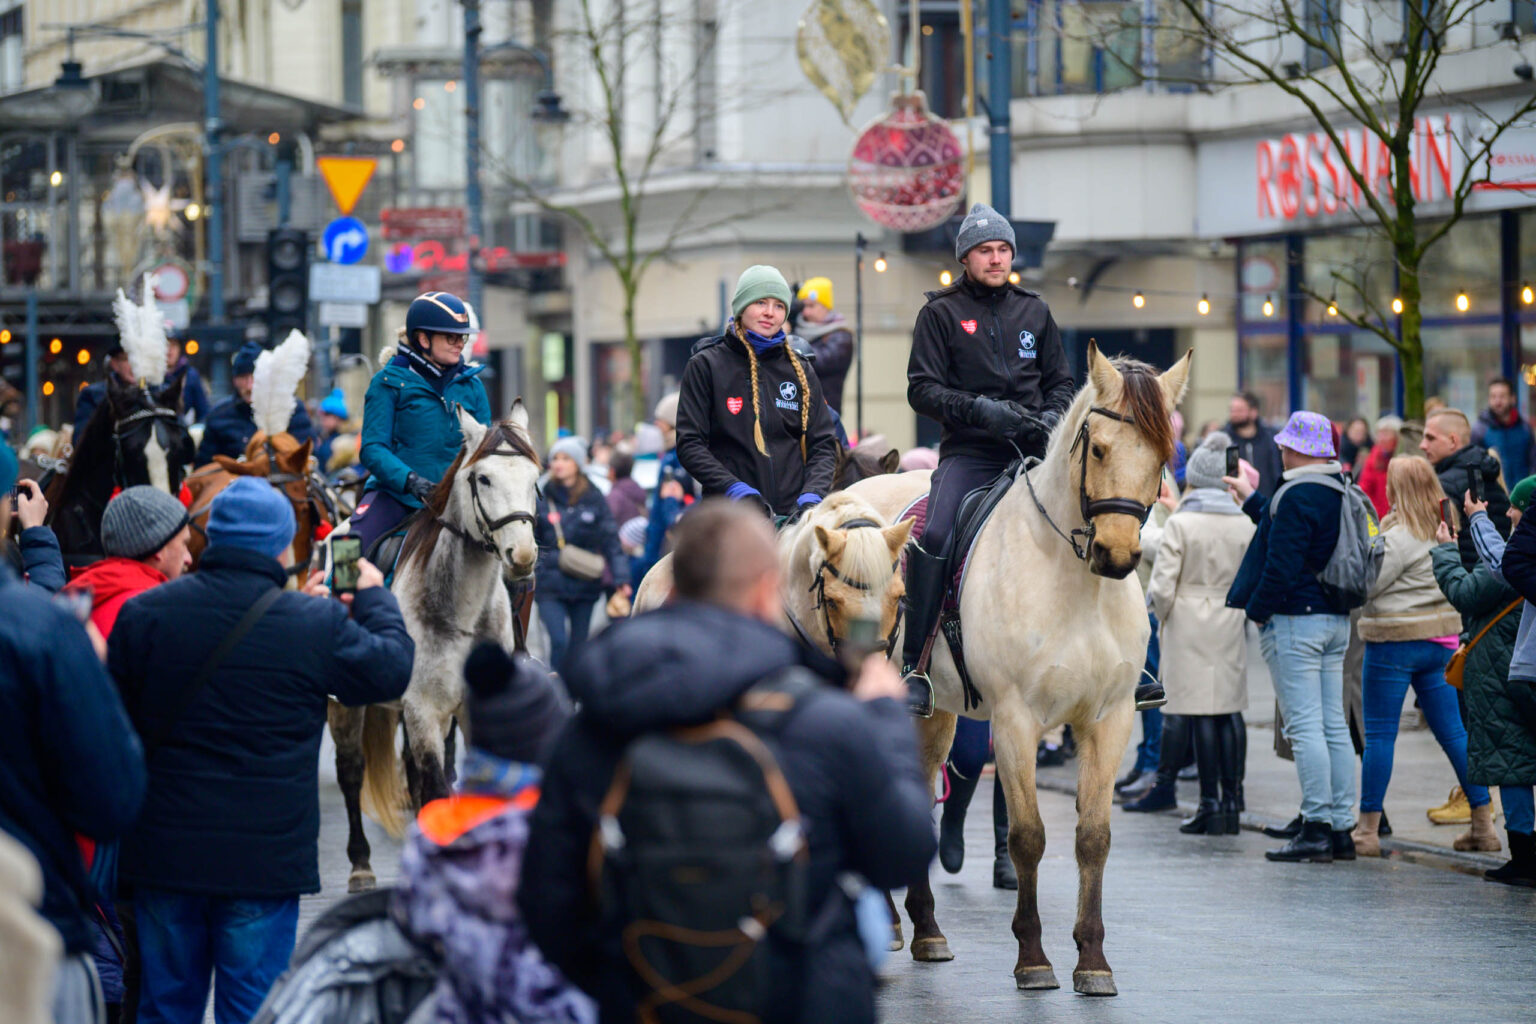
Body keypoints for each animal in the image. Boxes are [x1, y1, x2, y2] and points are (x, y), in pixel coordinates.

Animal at [330, 399, 540, 890]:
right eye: (483, 478)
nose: (522, 556)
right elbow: (436, 792)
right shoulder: (422, 709)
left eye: (534, 478)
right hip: (348, 705)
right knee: (352, 772)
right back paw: (361, 865)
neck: (460, 610)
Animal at [854, 342, 1185, 994]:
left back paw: (925, 929)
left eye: (1164, 456)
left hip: (934, 715)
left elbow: (1093, 838)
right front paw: (1033, 957)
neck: (1074, 582)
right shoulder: (1015, 721)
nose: (1117, 554)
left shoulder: (1108, 720)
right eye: (1099, 448)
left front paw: (1093, 959)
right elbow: (1028, 836)